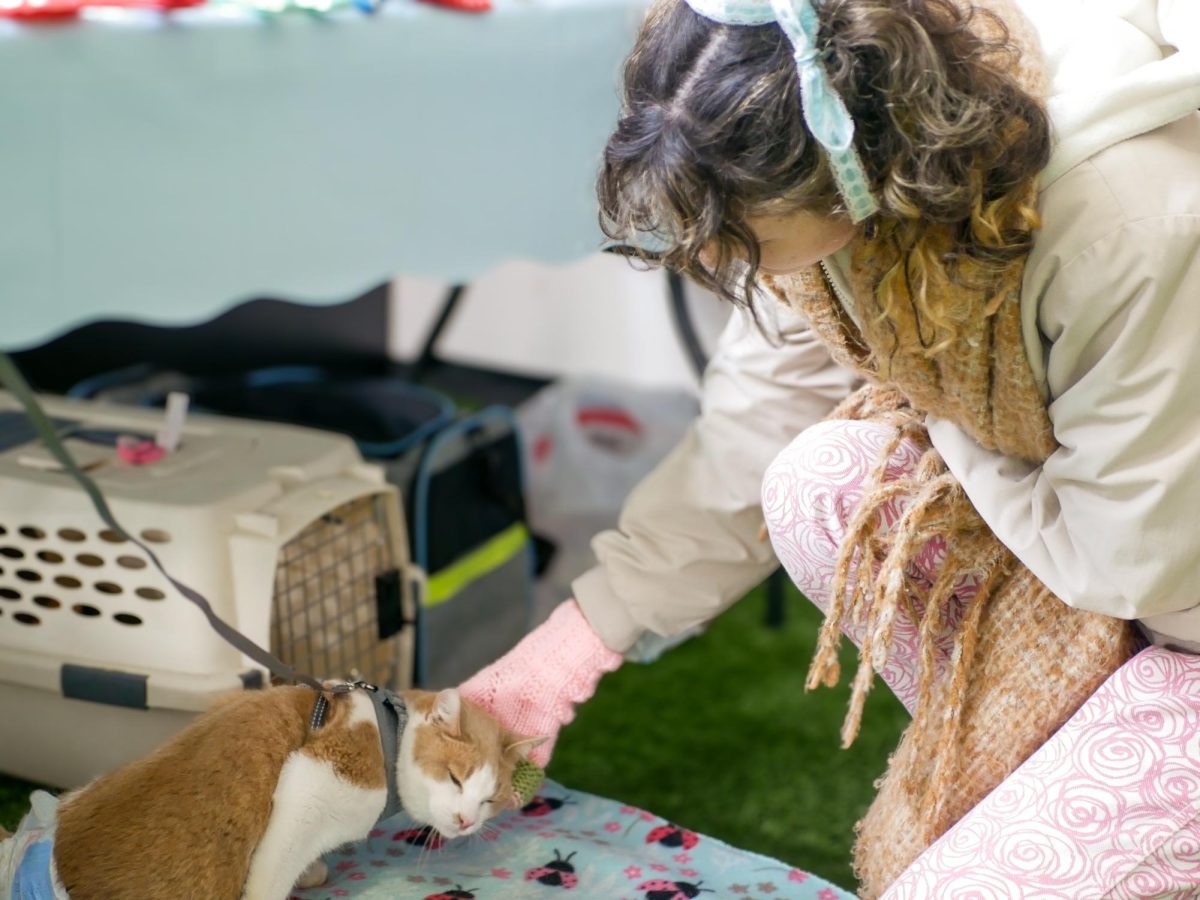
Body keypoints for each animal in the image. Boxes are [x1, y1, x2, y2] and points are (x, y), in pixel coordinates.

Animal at [21, 686, 540, 897]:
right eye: (455, 778)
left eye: (489, 800)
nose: (466, 822)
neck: (388, 723)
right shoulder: (308, 786)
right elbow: (268, 879)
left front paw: (313, 872)